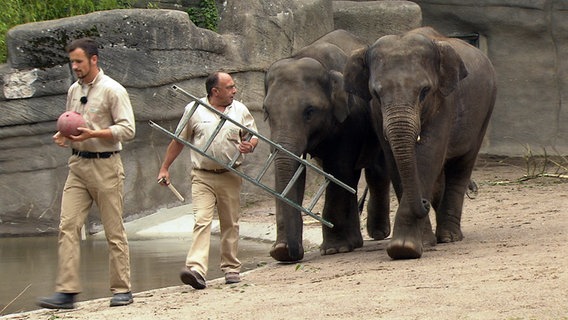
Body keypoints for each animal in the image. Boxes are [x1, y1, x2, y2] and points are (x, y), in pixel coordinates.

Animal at [264, 28, 392, 262]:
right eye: (266, 112)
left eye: (309, 111)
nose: (292, 254)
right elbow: (296, 172)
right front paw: (280, 252)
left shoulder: (350, 120)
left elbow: (337, 170)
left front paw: (334, 250)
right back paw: (355, 242)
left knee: (375, 172)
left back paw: (377, 233)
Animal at [342, 26, 496, 258]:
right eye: (376, 93)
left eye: (424, 91)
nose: (423, 203)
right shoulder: (376, 112)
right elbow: (395, 161)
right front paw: (420, 242)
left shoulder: (445, 102)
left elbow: (427, 156)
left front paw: (404, 248)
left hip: (485, 112)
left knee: (462, 165)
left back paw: (450, 237)